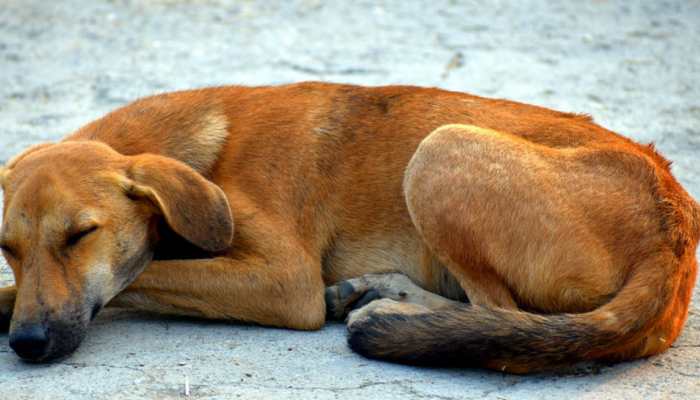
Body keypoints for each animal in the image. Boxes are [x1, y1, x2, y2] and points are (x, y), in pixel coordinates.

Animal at [1, 83, 700, 374]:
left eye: (80, 236)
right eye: (7, 248)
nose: (28, 344)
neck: (205, 154)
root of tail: (674, 225)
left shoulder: (285, 282)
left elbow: (141, 274)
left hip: (440, 151)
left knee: (504, 319)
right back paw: (383, 295)